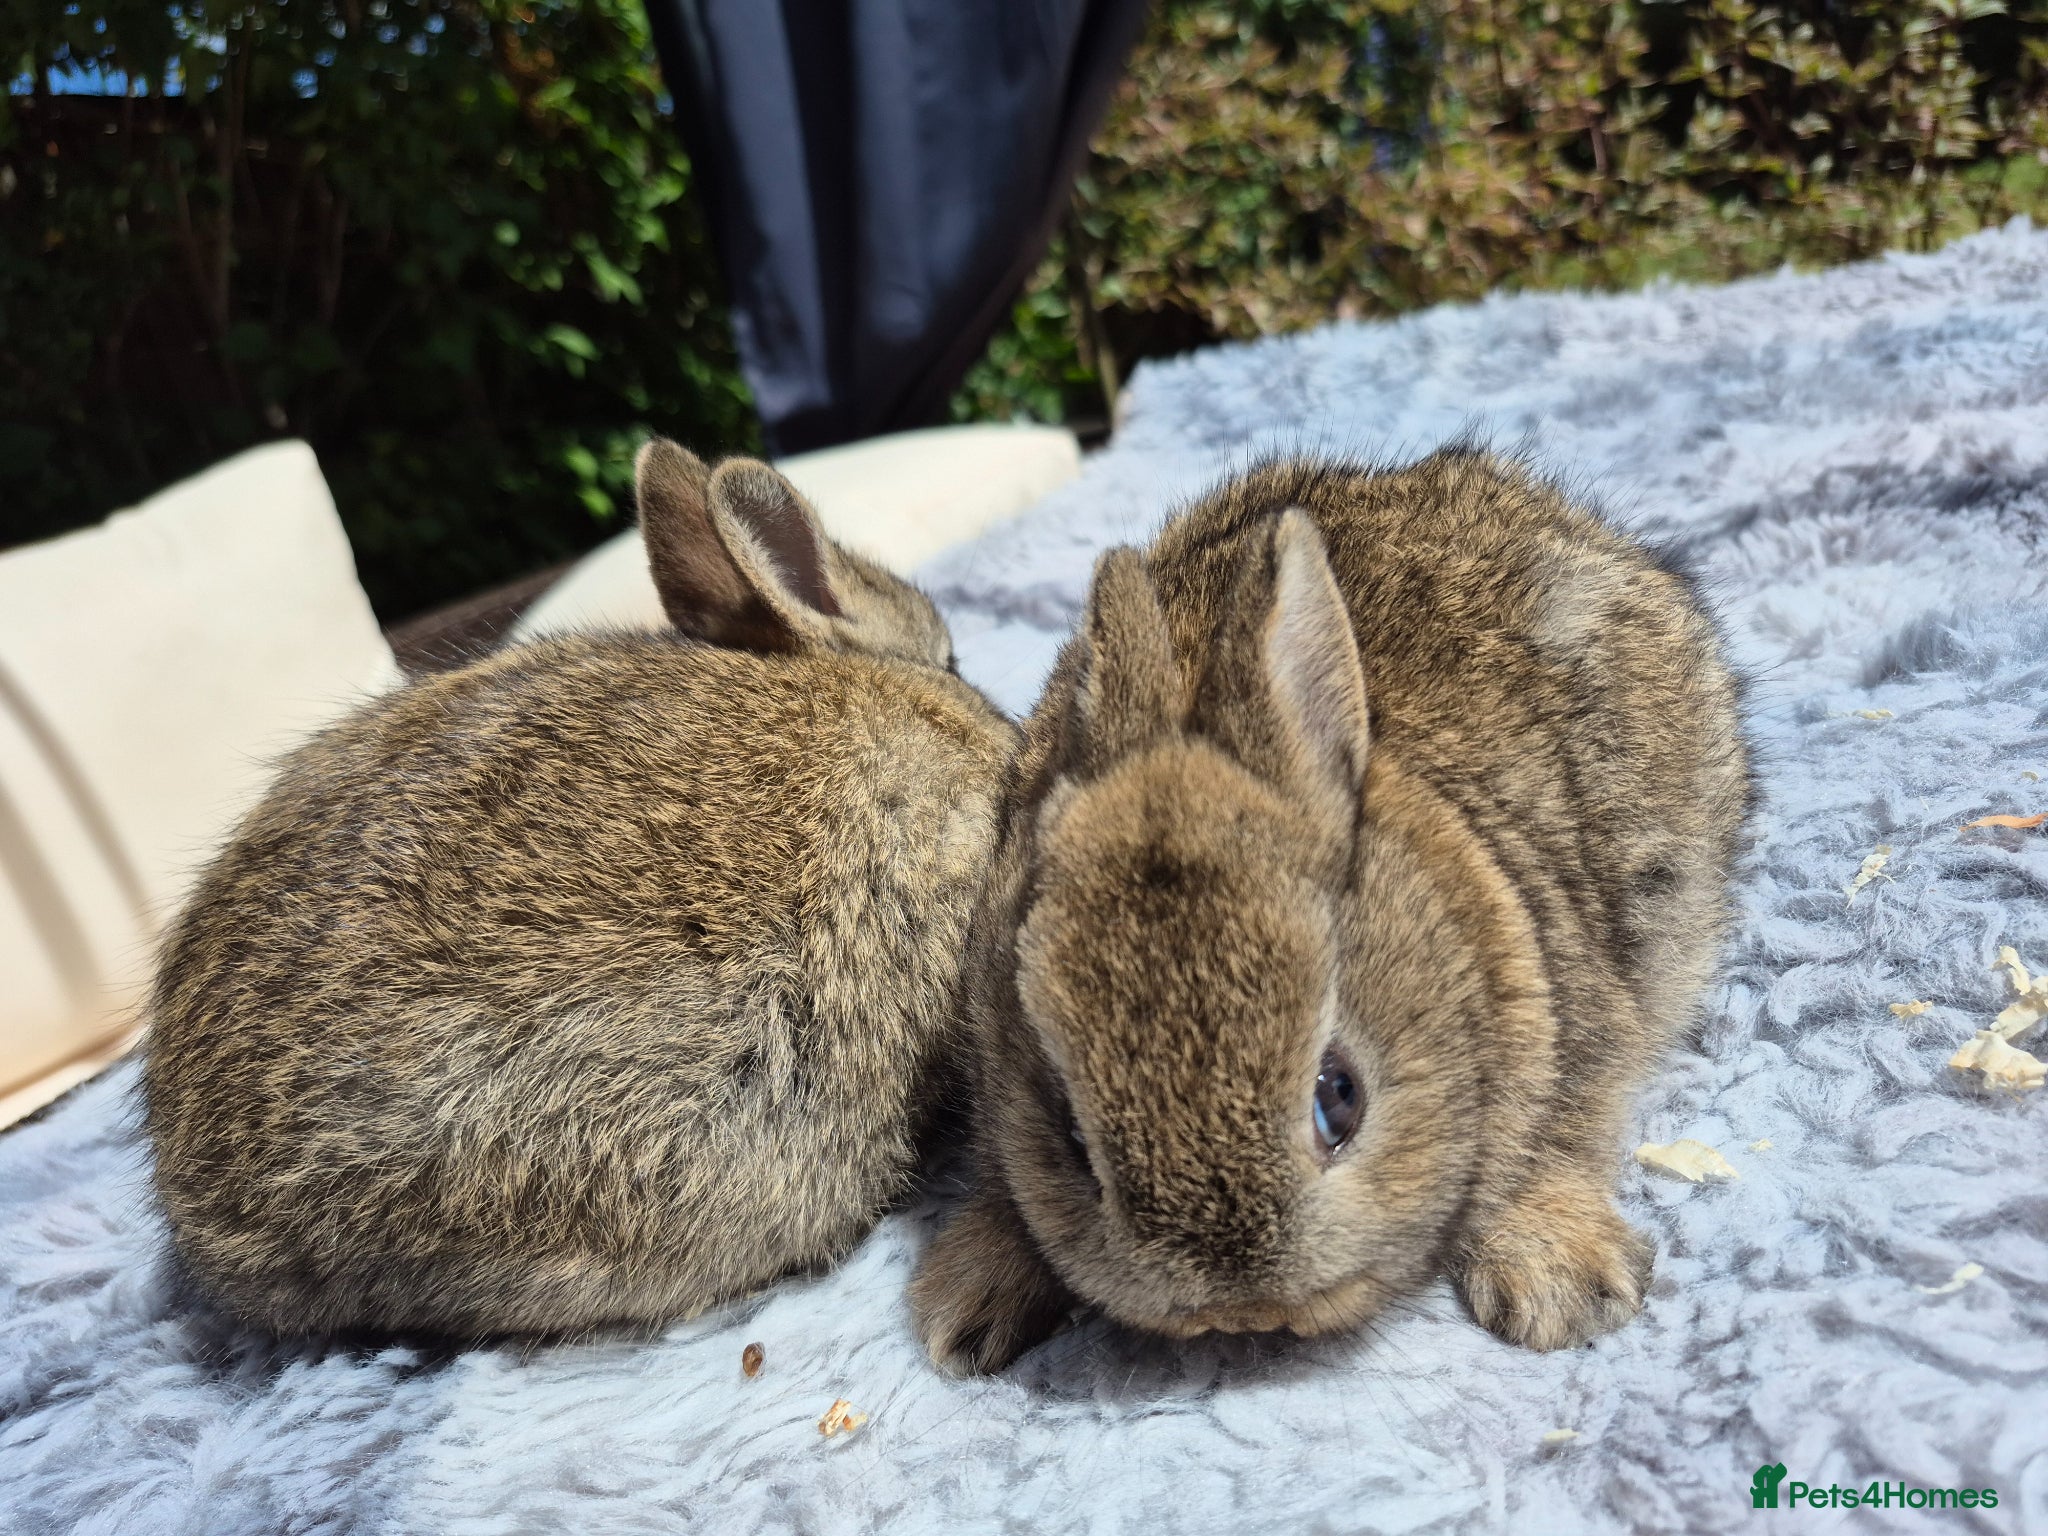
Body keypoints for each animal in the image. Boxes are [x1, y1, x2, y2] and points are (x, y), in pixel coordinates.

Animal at [909, 447, 1753, 1374]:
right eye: (1068, 1134)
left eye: (1340, 1096)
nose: (1239, 1308)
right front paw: (965, 1304)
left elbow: (1557, 1135)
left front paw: (1562, 1285)